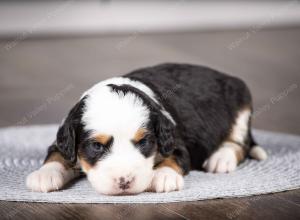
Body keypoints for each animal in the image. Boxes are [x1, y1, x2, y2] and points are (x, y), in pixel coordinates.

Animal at [26, 62, 268, 195]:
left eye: (143, 142)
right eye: (96, 146)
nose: (124, 182)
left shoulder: (176, 142)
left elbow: (173, 158)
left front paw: (163, 176)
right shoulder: (64, 140)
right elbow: (56, 154)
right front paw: (43, 175)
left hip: (241, 106)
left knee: (240, 143)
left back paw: (221, 159)